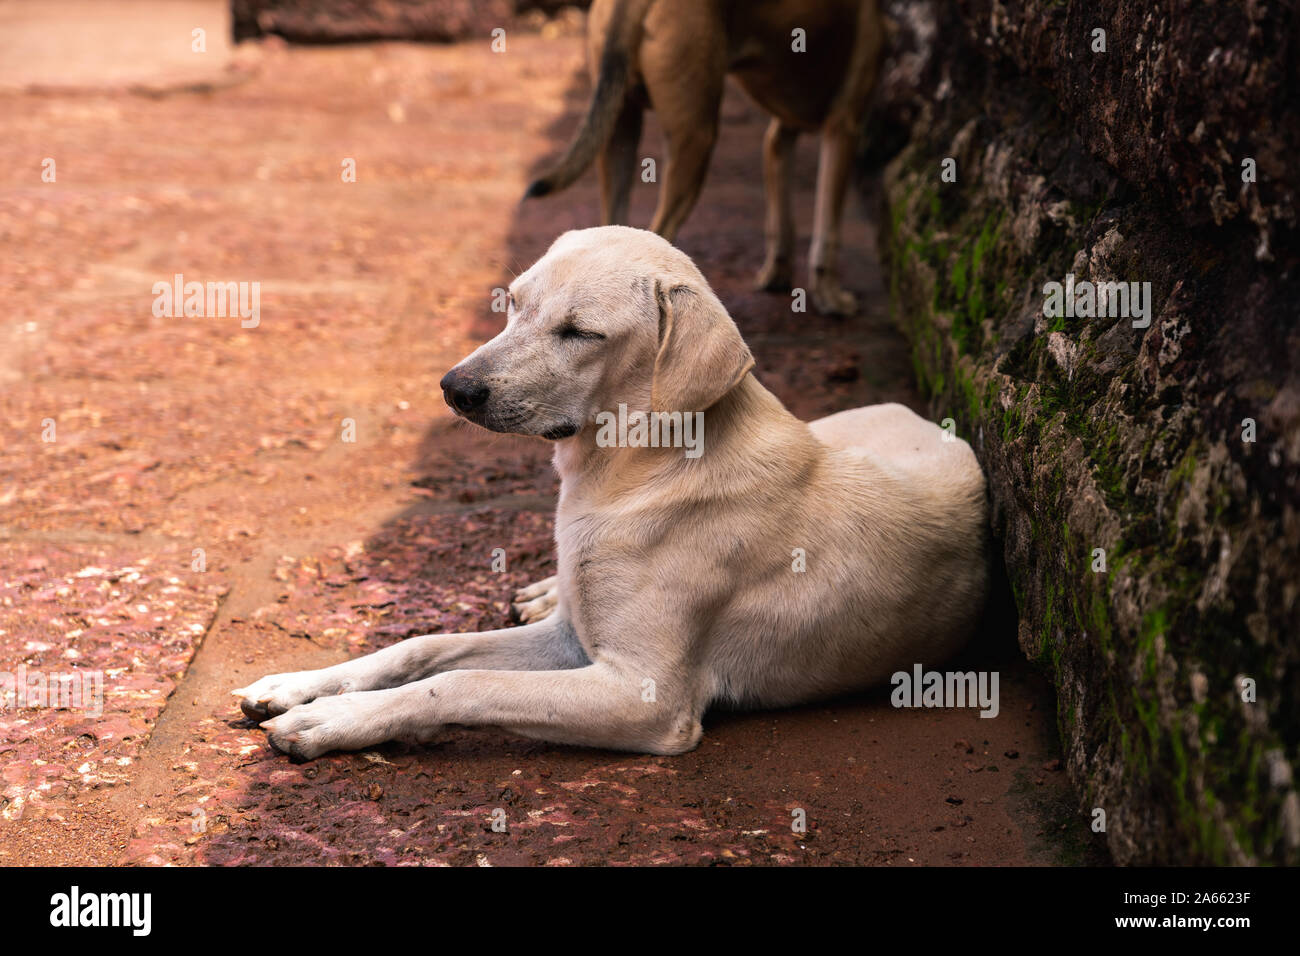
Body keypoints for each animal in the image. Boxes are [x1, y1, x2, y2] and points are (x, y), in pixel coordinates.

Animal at [231, 226, 982, 764]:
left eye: (581, 333)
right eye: (513, 303)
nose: (454, 388)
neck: (626, 477)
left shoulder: (643, 696)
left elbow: (462, 682)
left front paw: (336, 718)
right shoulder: (571, 641)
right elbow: (421, 647)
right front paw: (299, 685)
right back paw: (542, 587)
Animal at [522, 0, 889, 317]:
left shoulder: (780, 138)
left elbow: (781, 220)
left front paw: (777, 275)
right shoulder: (844, 128)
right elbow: (828, 230)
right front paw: (831, 298)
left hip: (619, 133)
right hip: (696, 137)